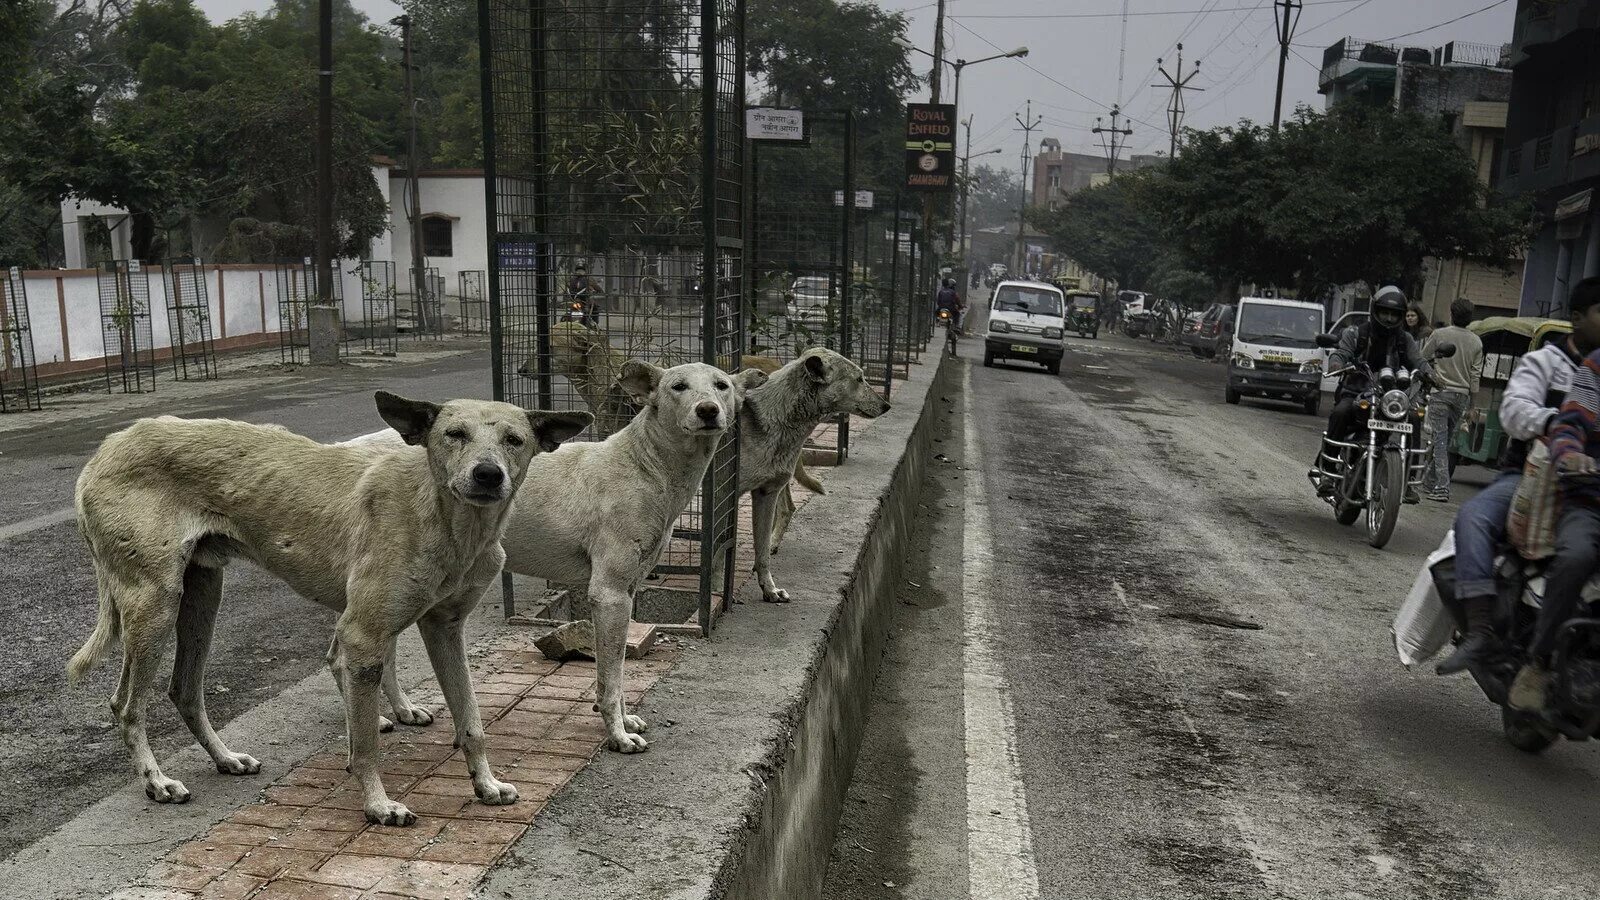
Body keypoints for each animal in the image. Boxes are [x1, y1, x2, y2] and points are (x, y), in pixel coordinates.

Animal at [68, 389, 592, 826]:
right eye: (454, 434)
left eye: (514, 440)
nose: (487, 475)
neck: (447, 521)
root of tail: (109, 445)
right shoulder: (363, 634)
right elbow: (366, 744)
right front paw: (378, 804)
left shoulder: (444, 629)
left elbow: (472, 722)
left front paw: (485, 784)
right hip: (155, 605)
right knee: (125, 705)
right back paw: (156, 781)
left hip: (202, 600)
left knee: (184, 691)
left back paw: (225, 758)